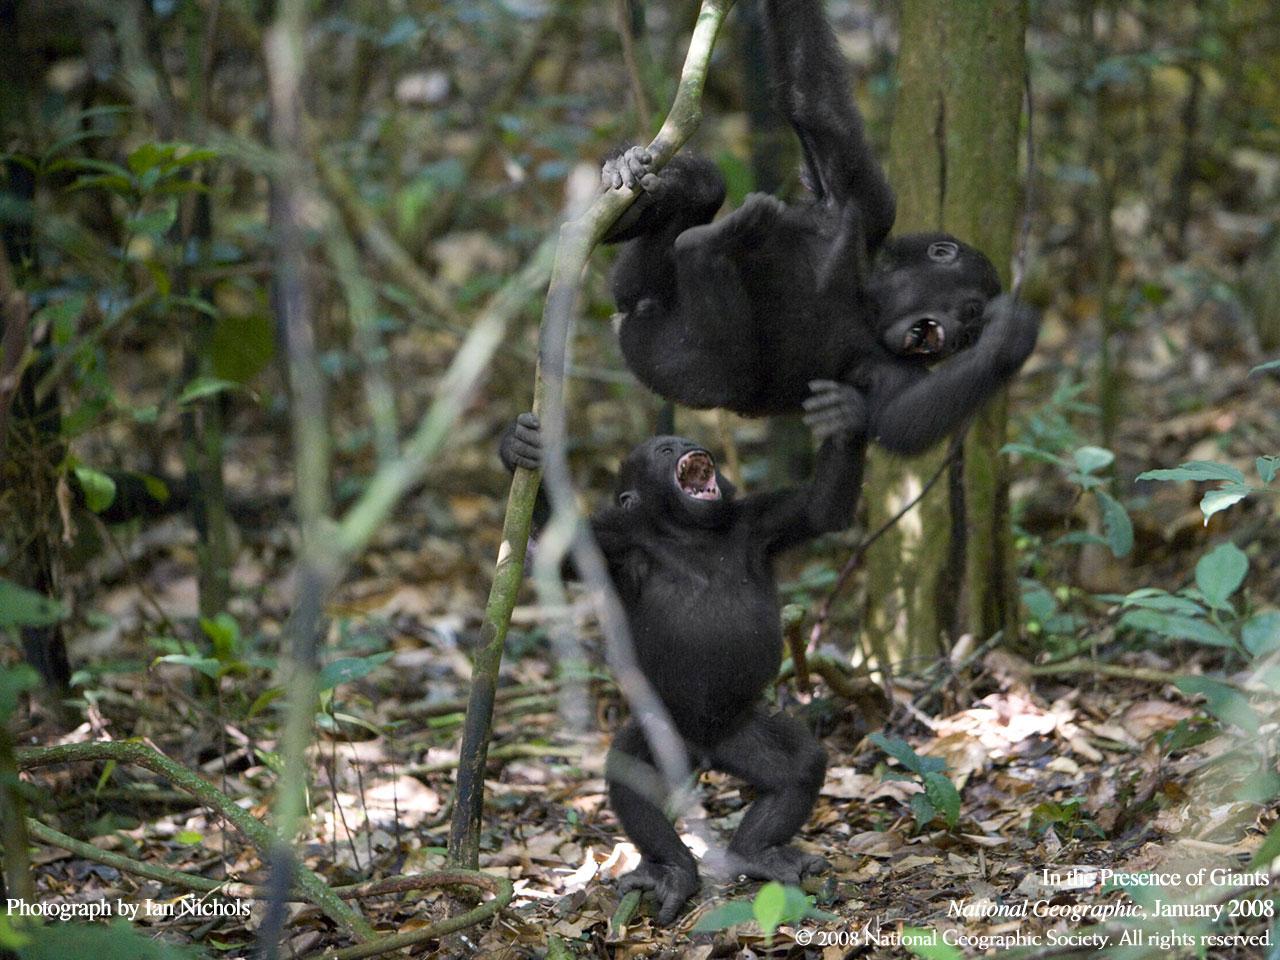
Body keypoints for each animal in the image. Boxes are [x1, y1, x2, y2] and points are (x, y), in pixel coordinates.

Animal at [499, 381, 870, 926]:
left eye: (678, 442)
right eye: (663, 450)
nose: (685, 443)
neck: (688, 532)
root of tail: (703, 752)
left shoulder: (759, 521)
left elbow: (820, 508)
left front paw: (844, 416)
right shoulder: (617, 542)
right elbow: (559, 548)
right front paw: (519, 448)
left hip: (741, 731)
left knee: (799, 765)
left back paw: (755, 852)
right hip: (664, 731)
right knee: (630, 777)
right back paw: (673, 871)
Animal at [599, 0, 1039, 455]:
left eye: (970, 337)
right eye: (969, 313)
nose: (953, 339)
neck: (868, 296)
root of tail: (627, 316)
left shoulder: (892, 366)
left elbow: (900, 420)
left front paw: (1011, 337)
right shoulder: (864, 200)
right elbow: (814, 101)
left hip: (669, 358)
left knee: (723, 366)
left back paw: (706, 241)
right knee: (706, 186)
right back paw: (630, 177)